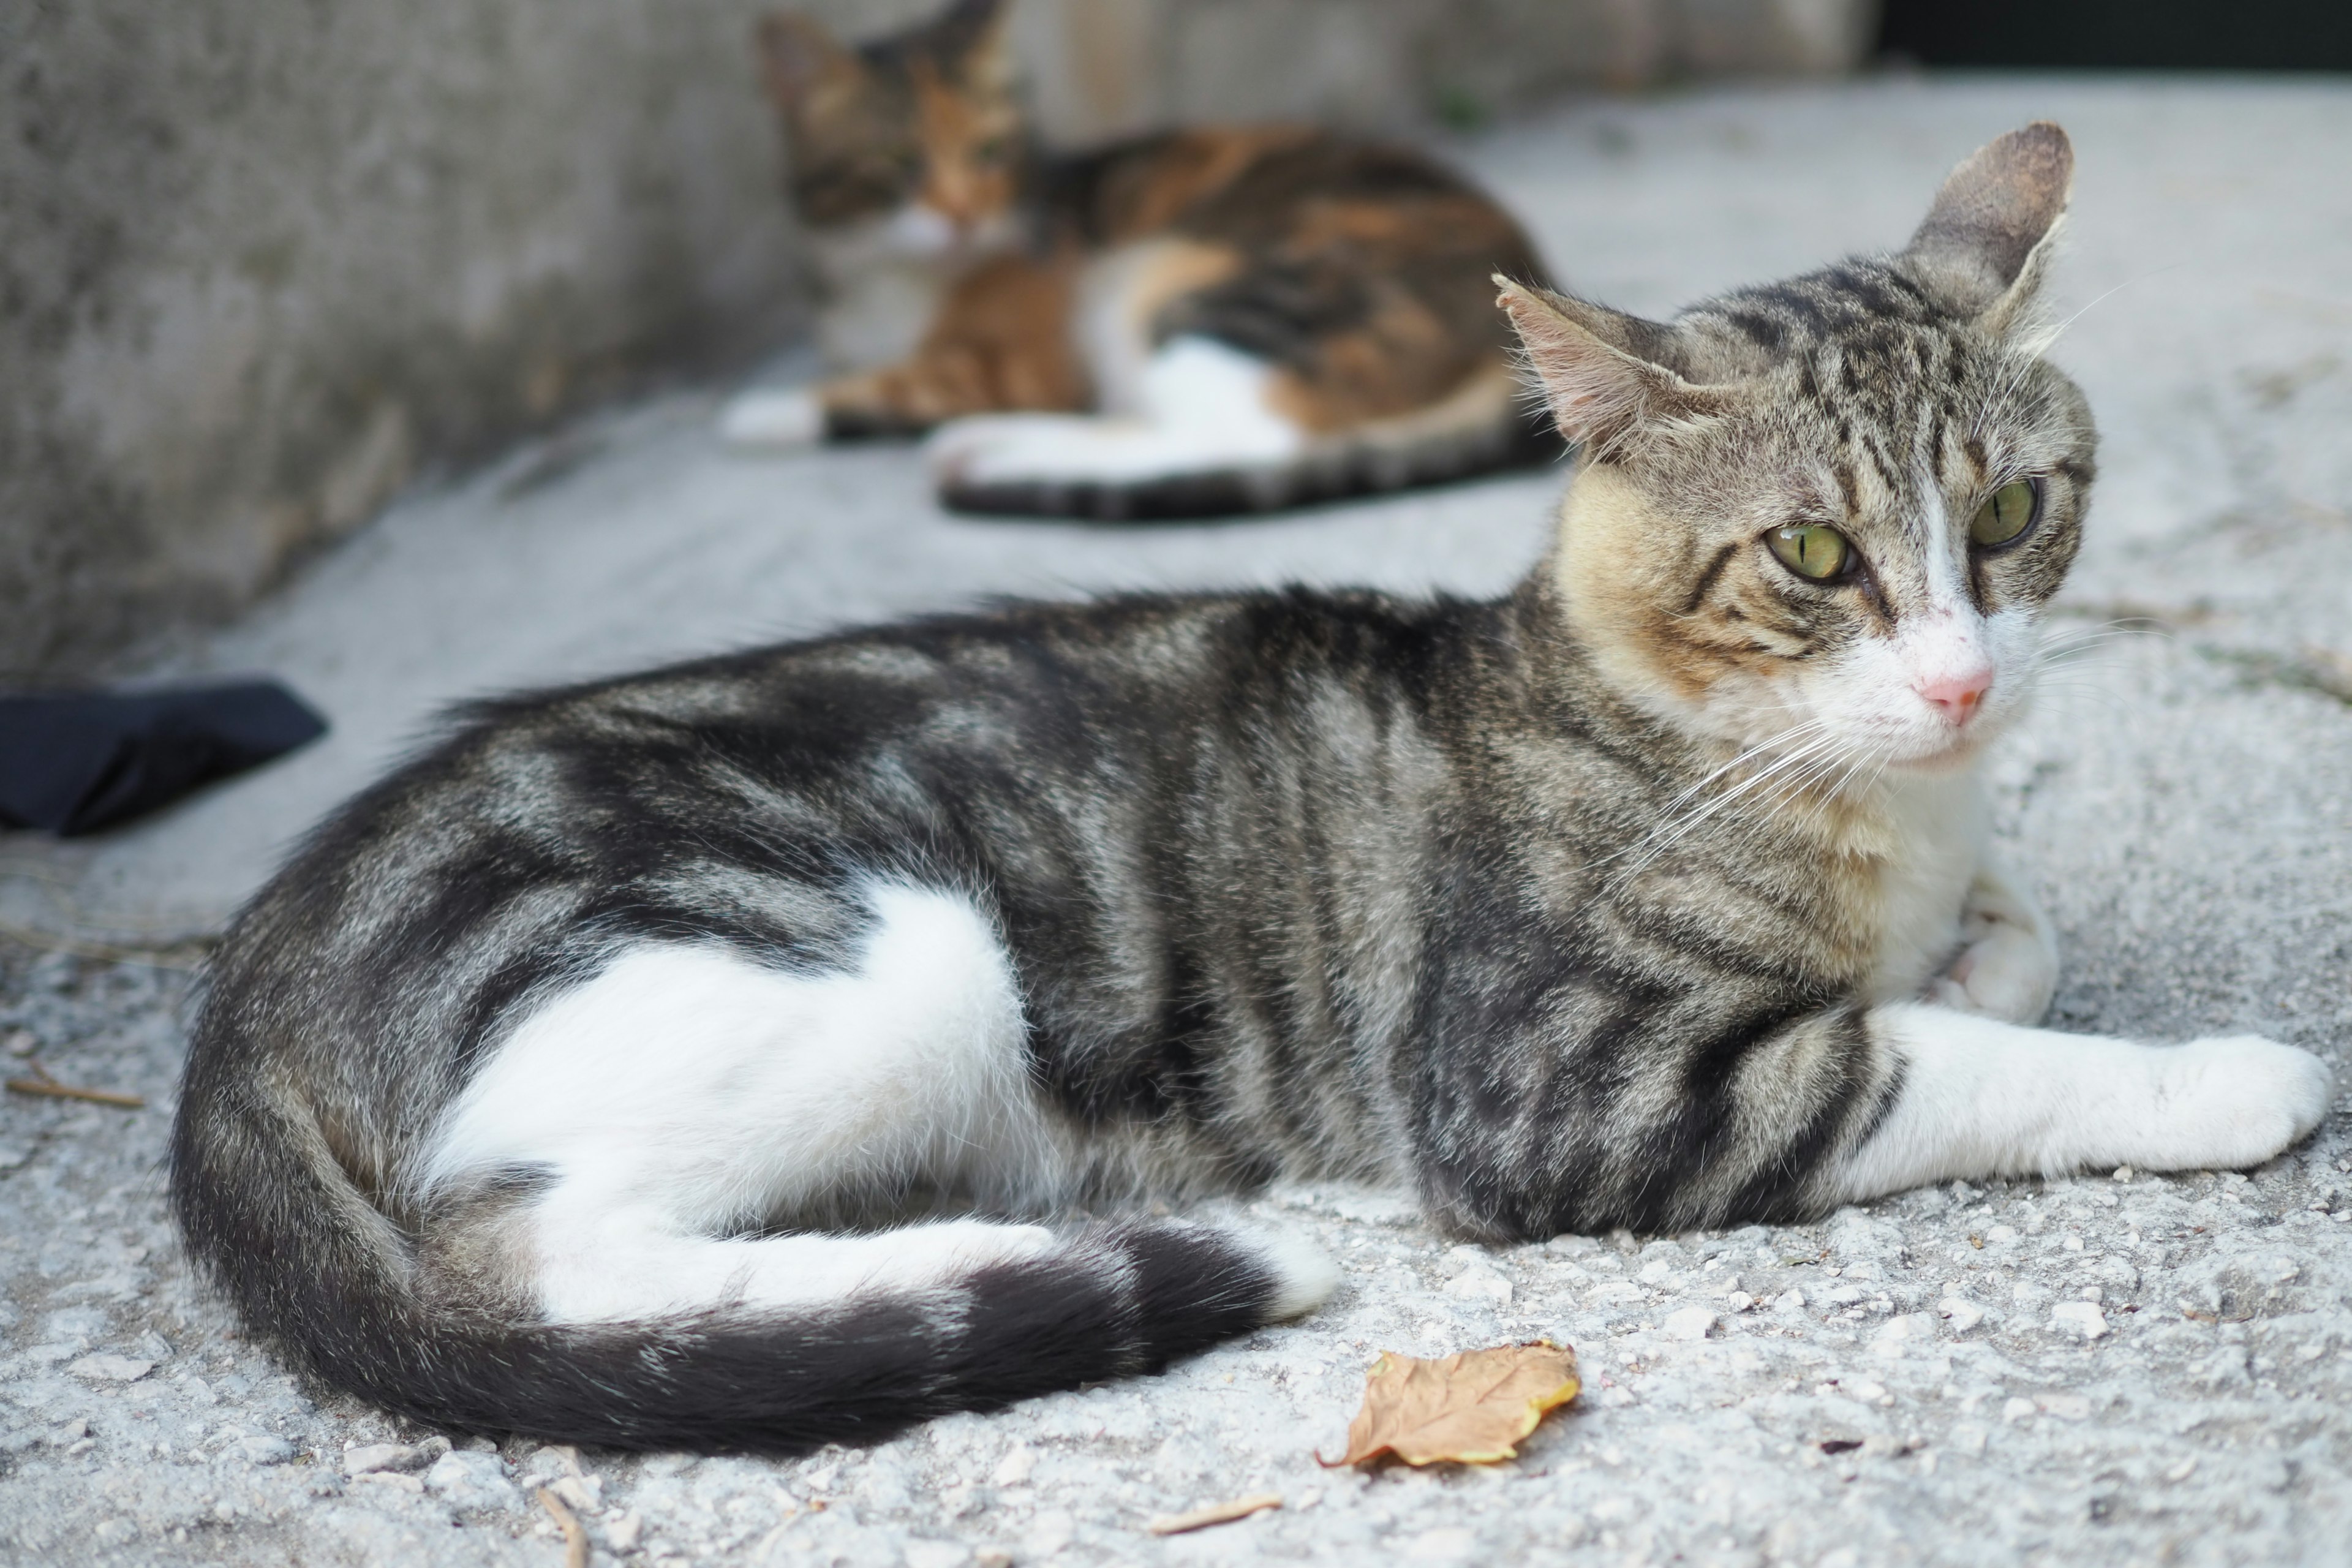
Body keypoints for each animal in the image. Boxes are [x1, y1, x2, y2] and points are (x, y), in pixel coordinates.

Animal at [170, 126, 2333, 1457]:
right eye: (1811, 559)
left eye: (2012, 513)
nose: (1963, 675)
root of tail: (259, 971)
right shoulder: (1560, 1087)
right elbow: (1937, 1058)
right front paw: (2217, 1078)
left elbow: (2009, 941)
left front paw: (1973, 942)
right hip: (888, 953)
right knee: (545, 1263)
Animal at [715, 0, 1561, 526]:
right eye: (899, 162)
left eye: (989, 152)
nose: (963, 214)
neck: (877, 266)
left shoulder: (1018, 362)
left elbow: (892, 382)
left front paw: (763, 411)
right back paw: (987, 446)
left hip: (1200, 286)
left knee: (1241, 437)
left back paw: (996, 461)